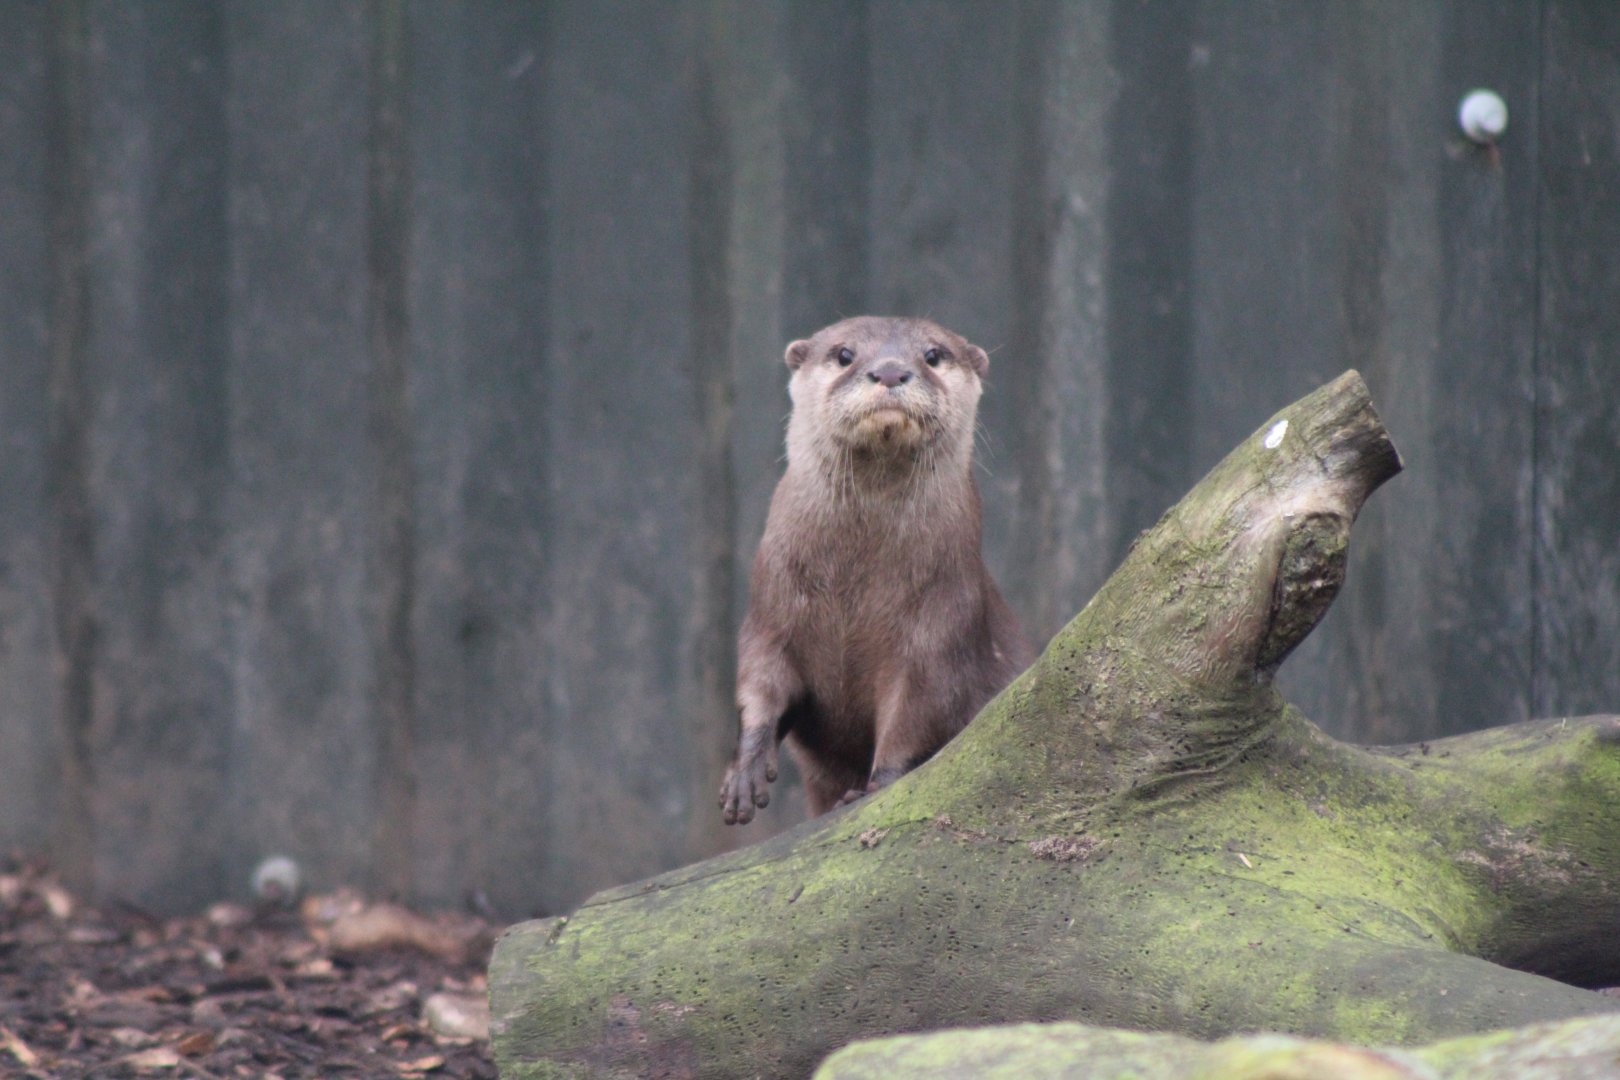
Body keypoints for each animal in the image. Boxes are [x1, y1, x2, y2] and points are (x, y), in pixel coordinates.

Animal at [720, 316, 1033, 825]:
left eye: (933, 355)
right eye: (845, 354)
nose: (889, 371)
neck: (853, 589)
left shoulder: (939, 628)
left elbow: (917, 713)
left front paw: (875, 788)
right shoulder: (770, 613)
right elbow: (760, 683)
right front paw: (743, 775)